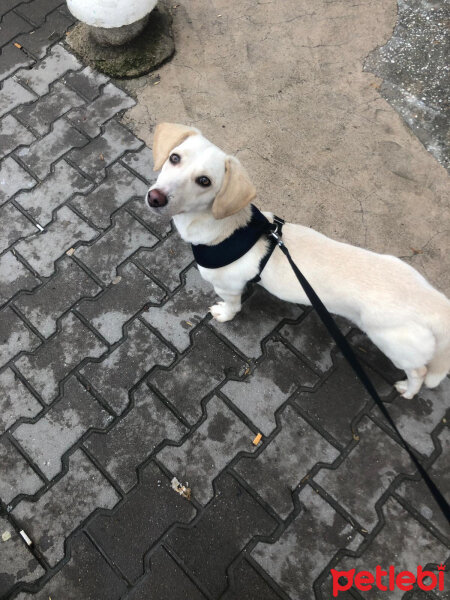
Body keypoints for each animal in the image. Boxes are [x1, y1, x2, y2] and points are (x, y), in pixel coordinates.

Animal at [145, 121, 450, 398]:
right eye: (174, 158)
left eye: (205, 181)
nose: (155, 198)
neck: (224, 229)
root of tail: (436, 305)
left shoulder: (228, 287)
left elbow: (232, 306)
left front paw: (224, 314)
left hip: (392, 344)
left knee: (420, 371)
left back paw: (408, 390)